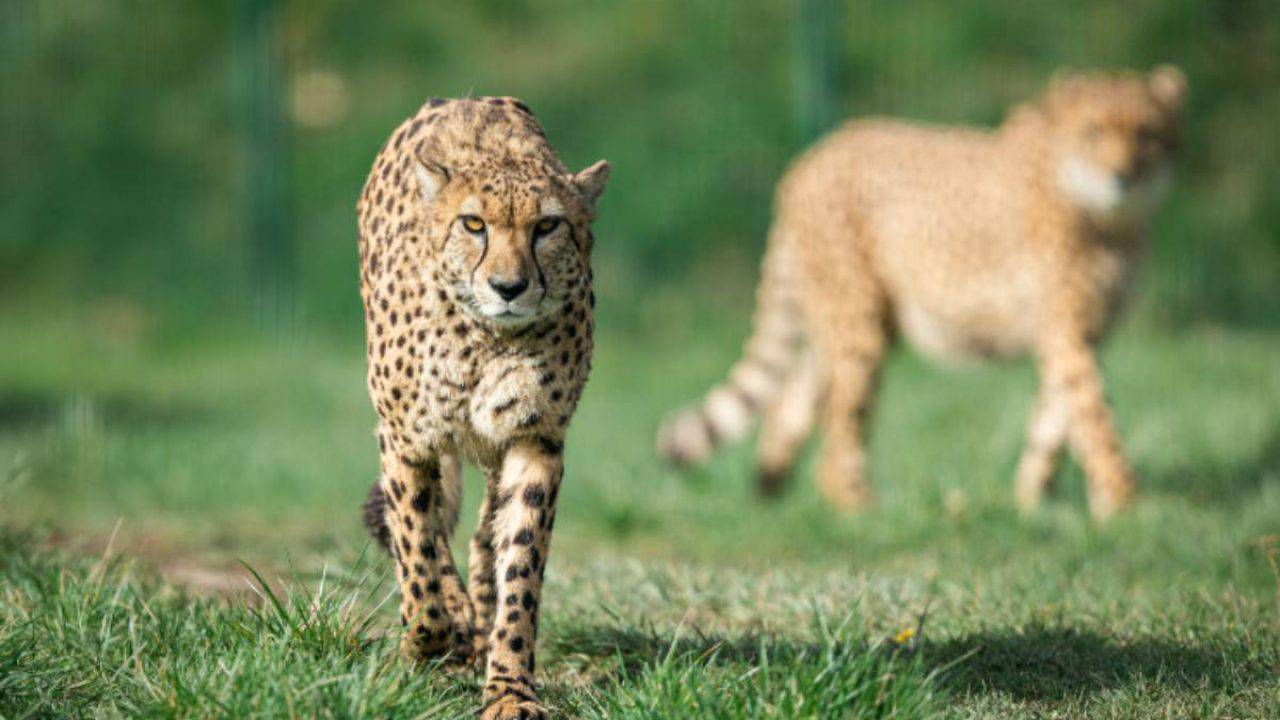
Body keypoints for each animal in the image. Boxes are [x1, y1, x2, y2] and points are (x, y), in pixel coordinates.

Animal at [357, 95, 608, 719]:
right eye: (474, 224)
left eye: (547, 226)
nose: (509, 287)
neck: (486, 338)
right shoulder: (404, 437)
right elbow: (417, 552)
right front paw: (430, 640)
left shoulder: (534, 438)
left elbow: (519, 563)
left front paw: (509, 687)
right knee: (430, 533)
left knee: (479, 536)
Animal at [656, 66, 1186, 521]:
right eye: (1094, 132)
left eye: (1147, 134)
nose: (1123, 176)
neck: (1109, 219)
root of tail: (814, 155)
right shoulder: (1066, 328)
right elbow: (1092, 408)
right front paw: (1124, 501)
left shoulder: (1085, 329)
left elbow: (1056, 415)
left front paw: (1040, 502)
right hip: (857, 321)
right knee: (840, 420)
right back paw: (859, 507)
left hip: (852, 319)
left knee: (796, 396)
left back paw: (770, 487)